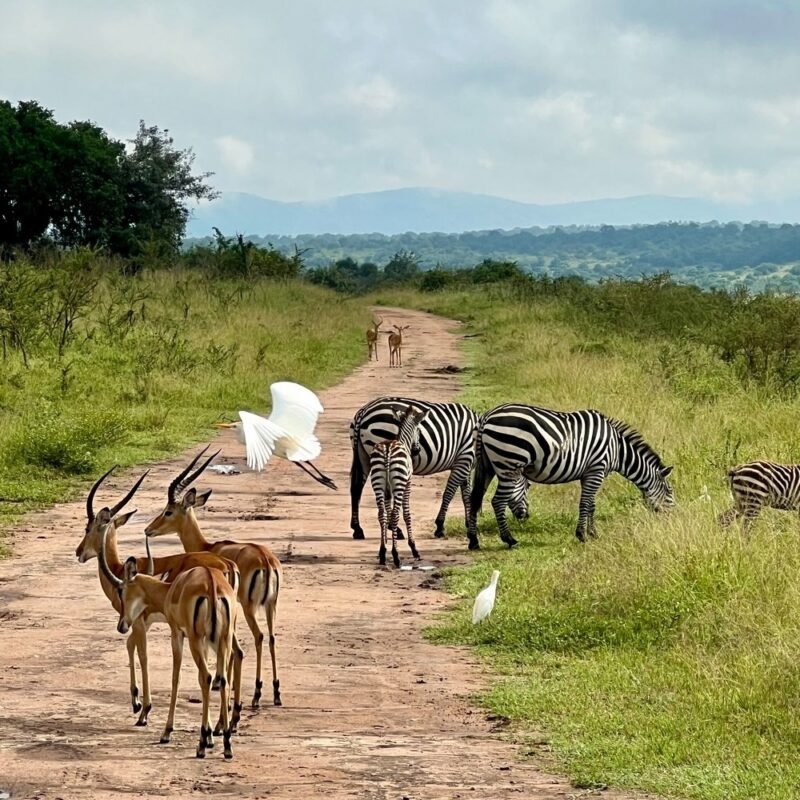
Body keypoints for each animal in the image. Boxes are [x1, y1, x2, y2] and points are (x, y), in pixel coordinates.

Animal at [349, 396, 530, 543]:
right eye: (528, 487)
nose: (526, 516)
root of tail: (364, 411)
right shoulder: (464, 459)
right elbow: (449, 493)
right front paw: (440, 526)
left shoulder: (465, 463)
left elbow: (466, 496)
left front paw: (469, 524)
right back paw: (396, 530)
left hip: (364, 456)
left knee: (356, 489)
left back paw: (358, 529)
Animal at [370, 404, 428, 567]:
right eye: (419, 430)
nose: (417, 450)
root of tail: (387, 449)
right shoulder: (408, 484)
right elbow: (406, 514)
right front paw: (414, 548)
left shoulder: (387, 491)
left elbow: (387, 515)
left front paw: (384, 546)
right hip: (399, 484)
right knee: (396, 514)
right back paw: (396, 556)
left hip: (377, 483)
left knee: (381, 514)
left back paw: (383, 553)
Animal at [469, 403, 675, 548]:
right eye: (669, 491)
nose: (673, 518)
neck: (617, 449)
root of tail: (488, 415)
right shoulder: (597, 470)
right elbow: (585, 503)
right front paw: (582, 535)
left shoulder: (590, 473)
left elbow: (591, 505)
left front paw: (593, 533)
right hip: (509, 464)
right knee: (497, 501)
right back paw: (509, 539)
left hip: (488, 466)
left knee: (474, 499)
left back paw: (473, 541)